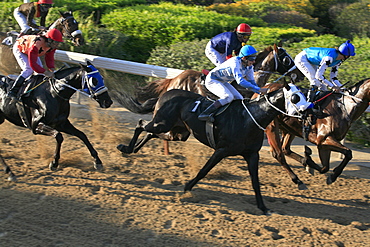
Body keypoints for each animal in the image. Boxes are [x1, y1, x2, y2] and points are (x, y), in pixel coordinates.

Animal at [116, 82, 306, 215]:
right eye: (295, 97)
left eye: (305, 95)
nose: (307, 110)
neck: (250, 118)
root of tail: (165, 93)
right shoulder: (221, 150)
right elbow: (203, 171)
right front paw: (187, 187)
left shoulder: (252, 154)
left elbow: (255, 182)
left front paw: (263, 207)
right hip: (162, 123)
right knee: (141, 124)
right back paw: (125, 147)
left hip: (177, 132)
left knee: (150, 133)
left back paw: (131, 150)